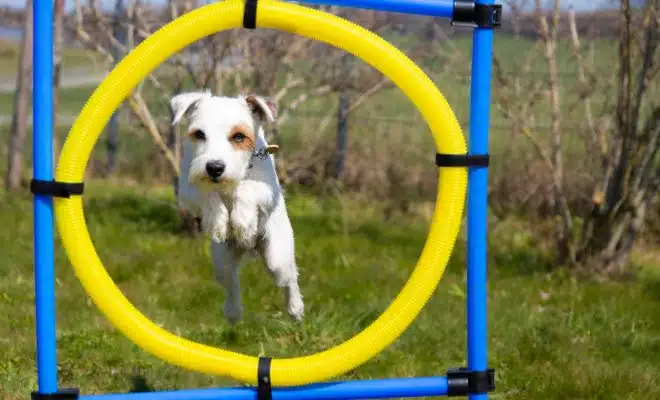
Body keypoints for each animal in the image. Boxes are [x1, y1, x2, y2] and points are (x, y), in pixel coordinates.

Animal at [170, 90, 304, 324]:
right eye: (199, 134)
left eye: (239, 136)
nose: (214, 167)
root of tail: (249, 248)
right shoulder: (186, 190)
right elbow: (207, 193)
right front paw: (219, 221)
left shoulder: (268, 189)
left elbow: (246, 188)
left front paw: (243, 221)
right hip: (221, 261)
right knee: (232, 282)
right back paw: (233, 312)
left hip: (277, 256)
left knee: (289, 278)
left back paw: (295, 307)